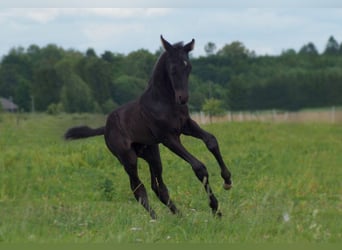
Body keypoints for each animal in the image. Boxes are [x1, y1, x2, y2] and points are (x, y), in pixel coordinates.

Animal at [65, 35, 232, 219]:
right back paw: (156, 219)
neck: (164, 102)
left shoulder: (187, 126)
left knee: (158, 187)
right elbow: (199, 167)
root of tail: (106, 127)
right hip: (128, 158)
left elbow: (211, 141)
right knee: (138, 188)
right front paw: (215, 208)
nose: (183, 98)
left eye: (188, 66)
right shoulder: (169, 137)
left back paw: (179, 217)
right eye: (173, 69)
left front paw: (227, 181)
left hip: (151, 153)